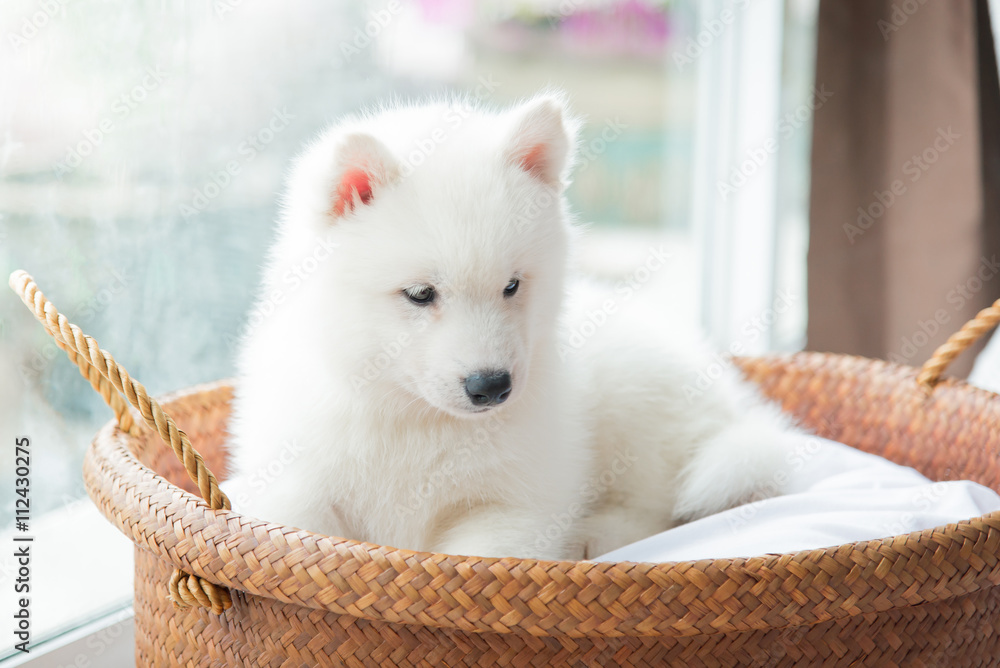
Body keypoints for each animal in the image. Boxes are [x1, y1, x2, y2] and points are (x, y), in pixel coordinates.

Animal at [223, 92, 800, 560]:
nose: (491, 386)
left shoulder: (513, 507)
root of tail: (728, 400)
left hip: (639, 405)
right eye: (420, 294)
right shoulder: (295, 488)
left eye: (512, 285)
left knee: (659, 506)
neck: (413, 419)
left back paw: (594, 535)